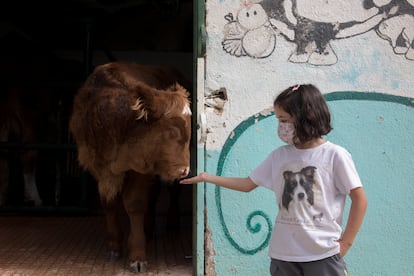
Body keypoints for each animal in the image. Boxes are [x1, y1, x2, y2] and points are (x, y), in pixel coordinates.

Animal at [69, 62, 192, 272]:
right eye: (172, 131)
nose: (185, 170)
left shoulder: (138, 169)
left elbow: (135, 205)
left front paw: (137, 255)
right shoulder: (99, 168)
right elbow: (109, 204)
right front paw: (113, 246)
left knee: (171, 192)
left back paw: (171, 223)